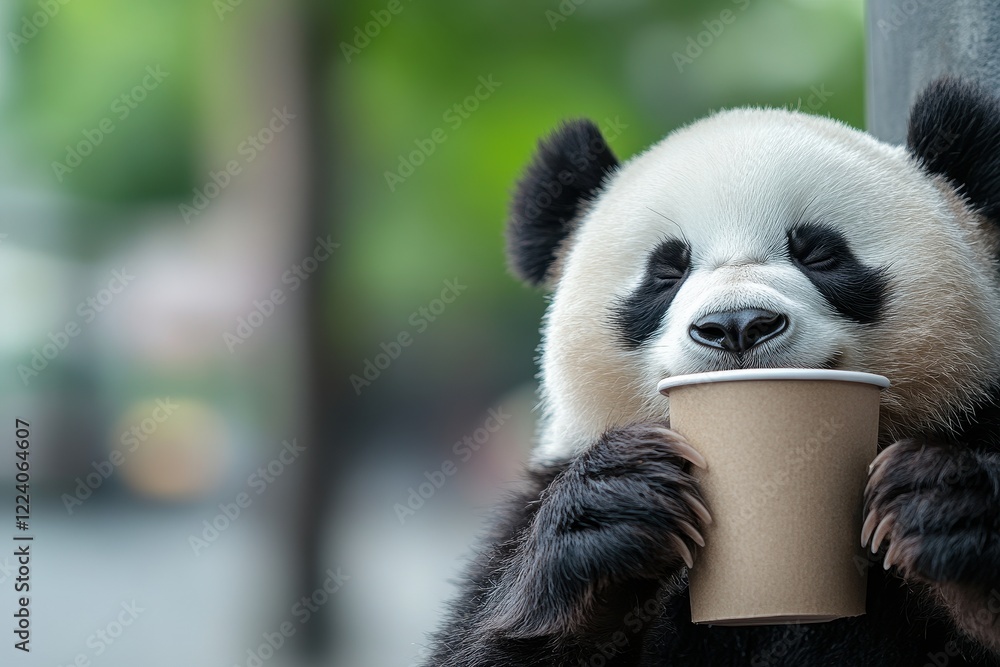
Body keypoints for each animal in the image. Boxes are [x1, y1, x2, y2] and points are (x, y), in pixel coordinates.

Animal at [424, 78, 1000, 666]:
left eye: (819, 253)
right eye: (667, 270)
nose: (737, 325)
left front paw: (941, 506)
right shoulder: (527, 510)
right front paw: (613, 507)